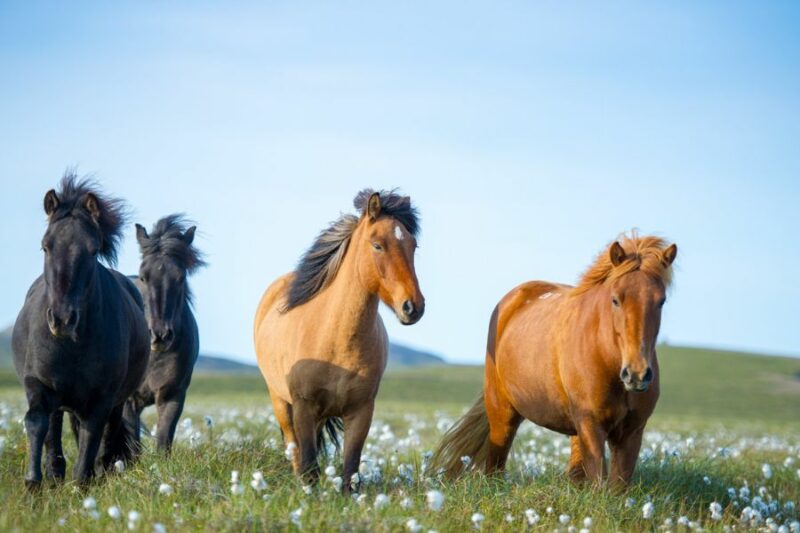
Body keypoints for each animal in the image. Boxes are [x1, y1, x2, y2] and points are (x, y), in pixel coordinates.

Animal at [12, 173, 150, 488]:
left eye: (93, 249)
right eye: (45, 246)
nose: (62, 319)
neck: (71, 347)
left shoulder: (101, 398)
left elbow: (91, 438)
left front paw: (82, 484)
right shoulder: (38, 384)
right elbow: (37, 424)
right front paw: (33, 483)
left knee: (107, 433)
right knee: (53, 428)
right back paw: (54, 475)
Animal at [124, 215, 205, 453]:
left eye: (181, 277)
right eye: (143, 277)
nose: (160, 335)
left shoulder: (172, 396)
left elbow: (163, 439)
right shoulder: (128, 401)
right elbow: (132, 445)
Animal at [253, 189, 424, 490]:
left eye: (413, 245)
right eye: (377, 245)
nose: (413, 307)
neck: (336, 338)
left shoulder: (361, 411)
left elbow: (350, 471)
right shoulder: (303, 406)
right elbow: (309, 466)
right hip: (281, 403)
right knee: (294, 451)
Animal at [430, 233, 677, 488]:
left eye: (661, 301)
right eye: (616, 300)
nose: (637, 374)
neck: (606, 360)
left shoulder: (631, 433)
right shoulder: (591, 425)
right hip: (502, 414)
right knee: (494, 465)